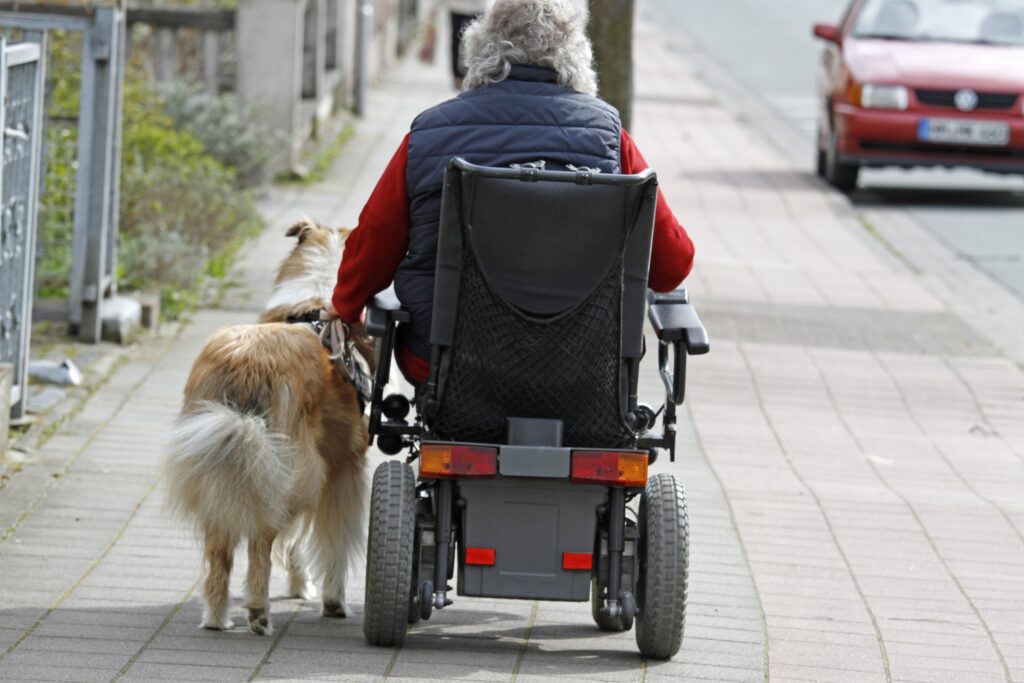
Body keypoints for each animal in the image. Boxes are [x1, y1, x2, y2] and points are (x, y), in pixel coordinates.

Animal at [161, 219, 366, 634]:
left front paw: (301, 585)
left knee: (220, 547)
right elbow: (333, 543)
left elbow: (295, 542)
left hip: (228, 462)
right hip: (293, 470)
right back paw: (258, 611)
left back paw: (217, 617)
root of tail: (245, 363)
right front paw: (333, 601)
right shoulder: (344, 472)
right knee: (260, 541)